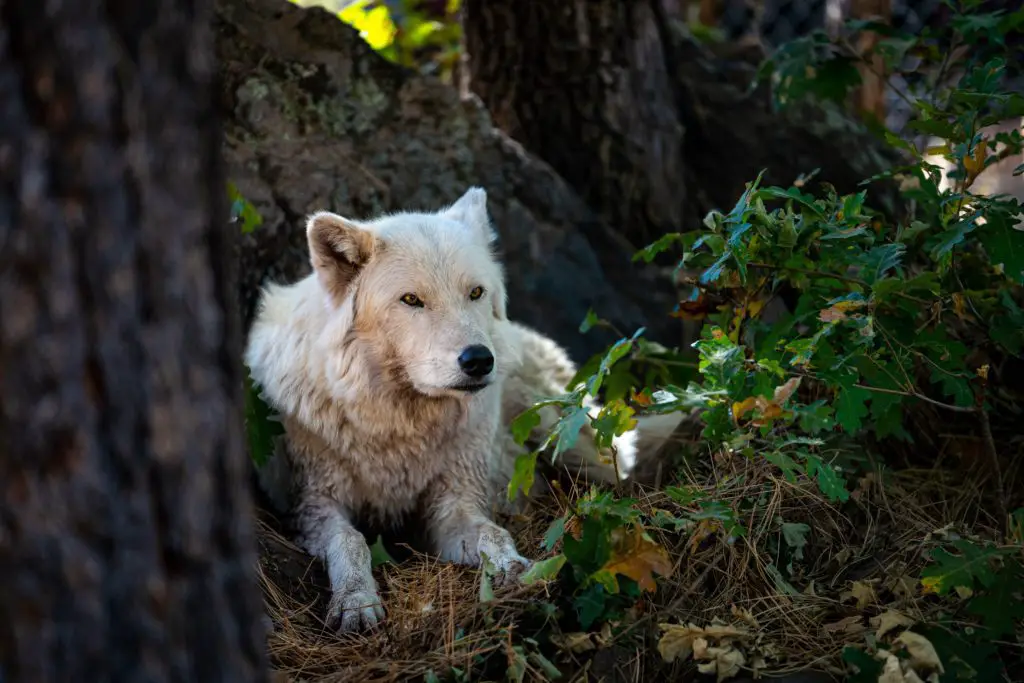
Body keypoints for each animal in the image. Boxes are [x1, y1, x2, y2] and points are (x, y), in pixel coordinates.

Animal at [243, 188, 684, 634]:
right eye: (411, 300)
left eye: (475, 292)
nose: (478, 360)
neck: (399, 424)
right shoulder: (313, 505)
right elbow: (351, 541)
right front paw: (355, 601)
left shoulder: (454, 505)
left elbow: (494, 533)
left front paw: (512, 568)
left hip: (565, 434)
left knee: (621, 462)